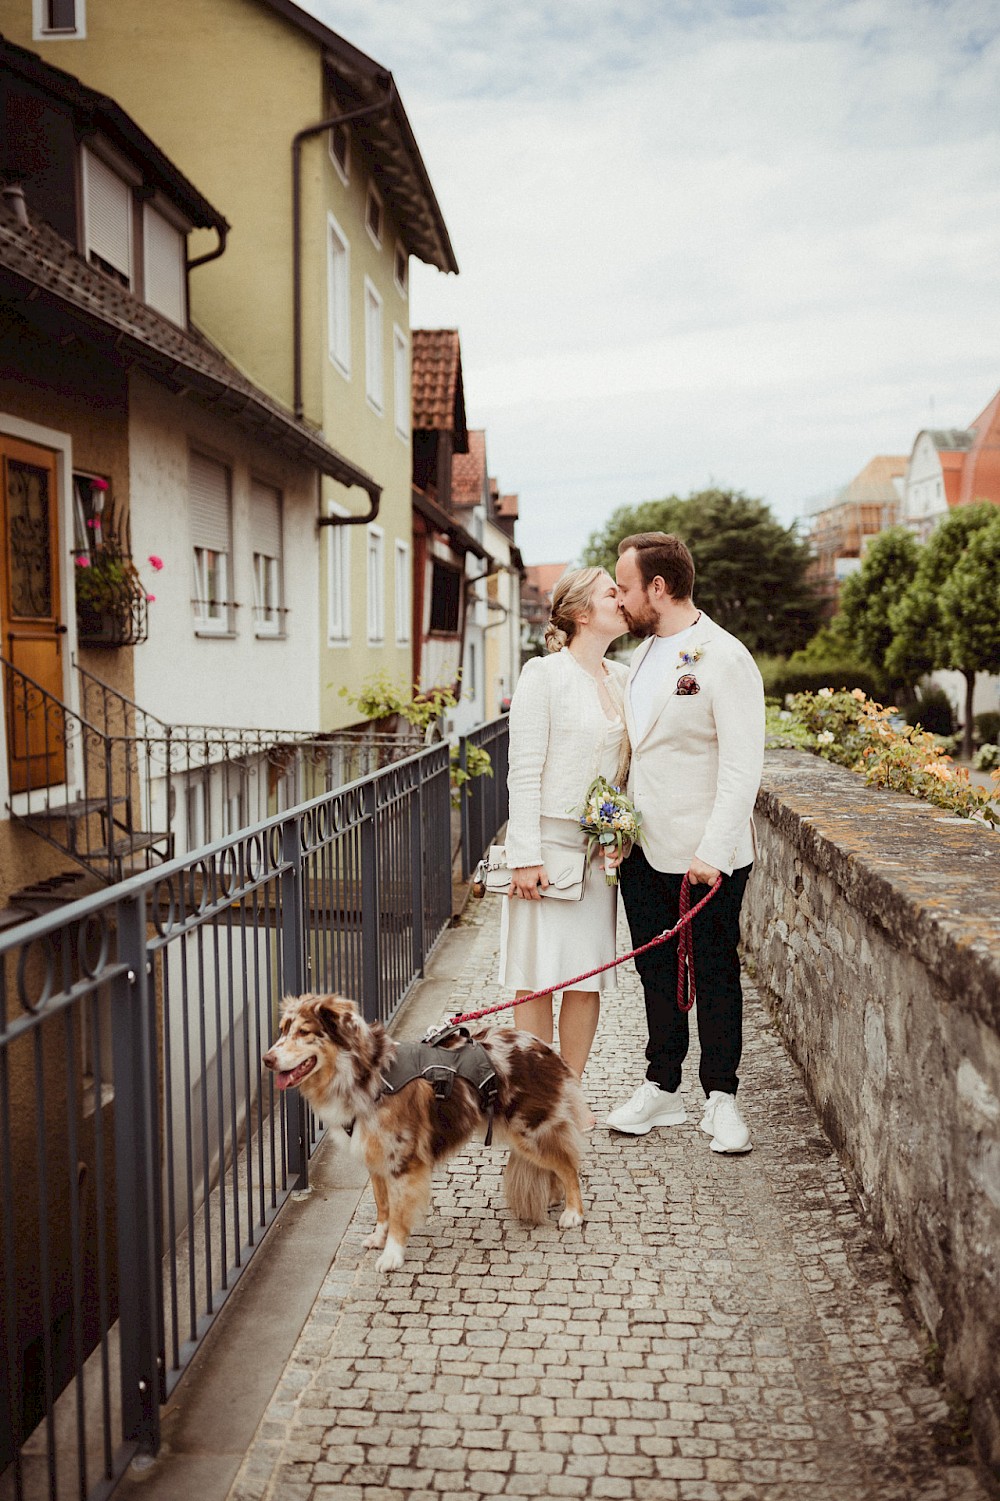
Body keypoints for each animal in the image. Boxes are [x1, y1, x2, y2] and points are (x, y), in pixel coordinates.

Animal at [261, 996, 588, 1266]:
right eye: (282, 1030)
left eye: (304, 1032)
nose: (267, 1059)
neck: (367, 1074)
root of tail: (545, 1049)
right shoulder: (376, 1158)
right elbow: (382, 1206)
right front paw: (379, 1239)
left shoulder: (402, 1161)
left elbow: (398, 1211)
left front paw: (392, 1256)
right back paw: (553, 1198)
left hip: (529, 1131)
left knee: (568, 1165)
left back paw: (573, 1213)